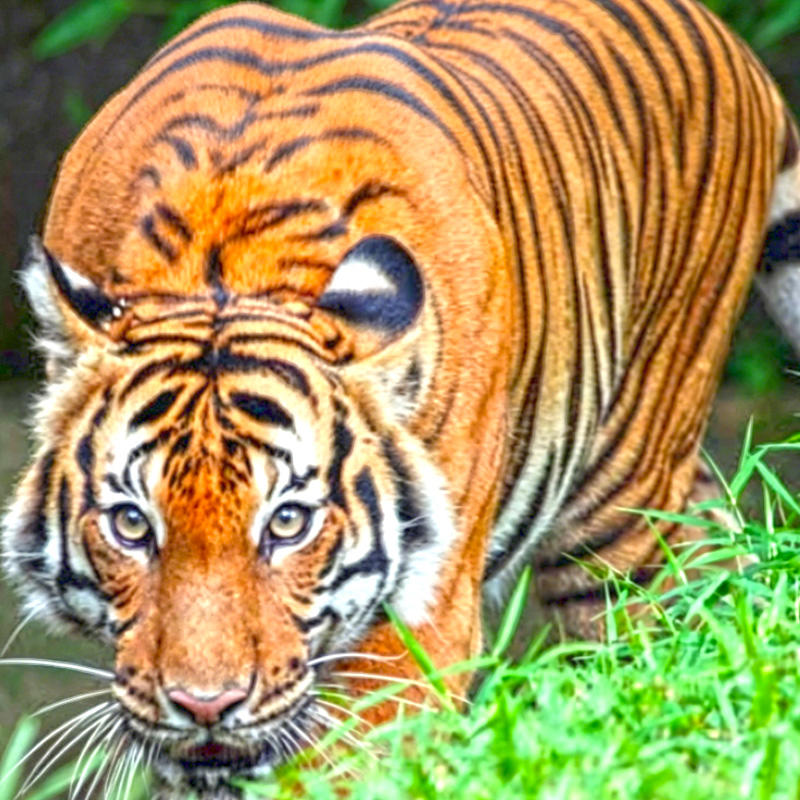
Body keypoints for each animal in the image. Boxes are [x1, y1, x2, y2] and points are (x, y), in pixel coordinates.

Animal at [4, 0, 800, 796]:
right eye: (131, 524)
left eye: (289, 522)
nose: (206, 705)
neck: (227, 264)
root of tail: (724, 38)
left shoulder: (421, 618)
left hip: (622, 503)